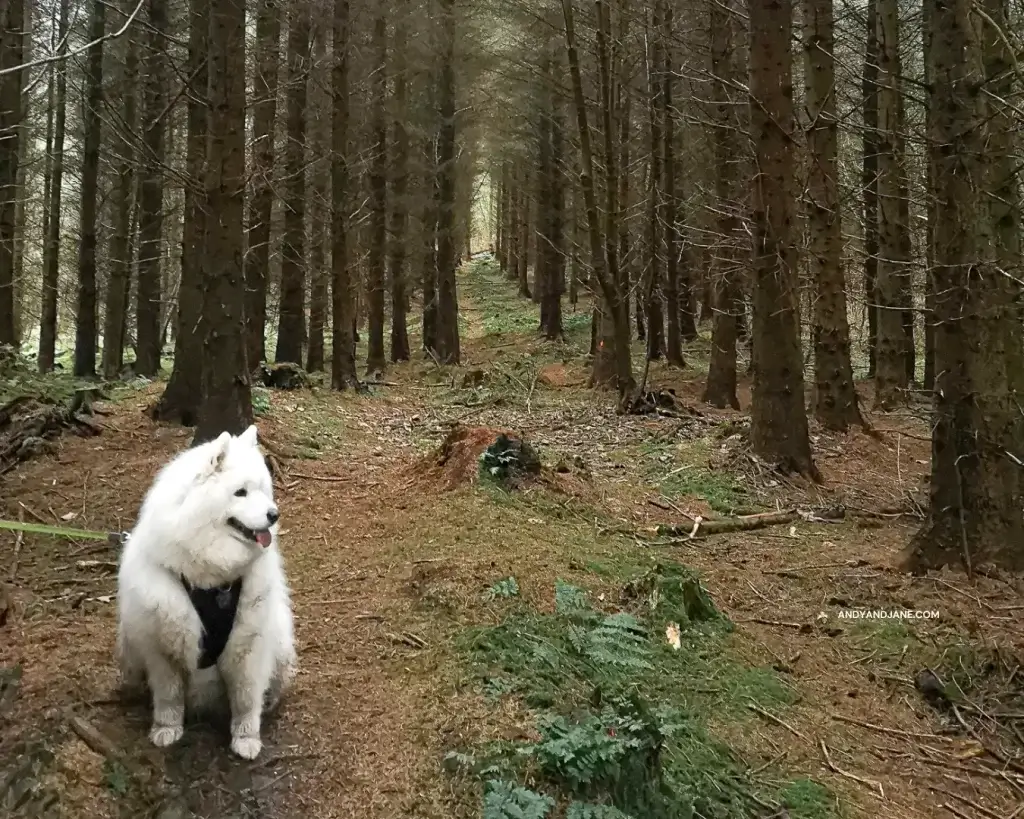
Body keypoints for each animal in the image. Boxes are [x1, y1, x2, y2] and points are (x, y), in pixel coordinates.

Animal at [118, 425, 299, 757]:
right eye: (240, 492)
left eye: (262, 489)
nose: (274, 514)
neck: (211, 578)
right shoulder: (162, 648)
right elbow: (168, 696)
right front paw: (166, 729)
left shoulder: (248, 645)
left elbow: (245, 697)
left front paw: (246, 738)